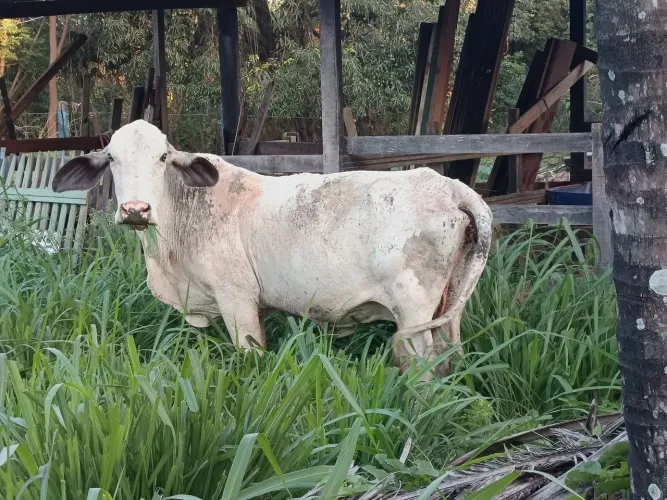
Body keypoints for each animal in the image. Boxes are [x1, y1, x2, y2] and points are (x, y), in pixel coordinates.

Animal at [52, 120, 492, 377]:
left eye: (162, 157)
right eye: (111, 158)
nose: (135, 209)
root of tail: (452, 188)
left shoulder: (237, 299)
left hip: (414, 312)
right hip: (447, 306)